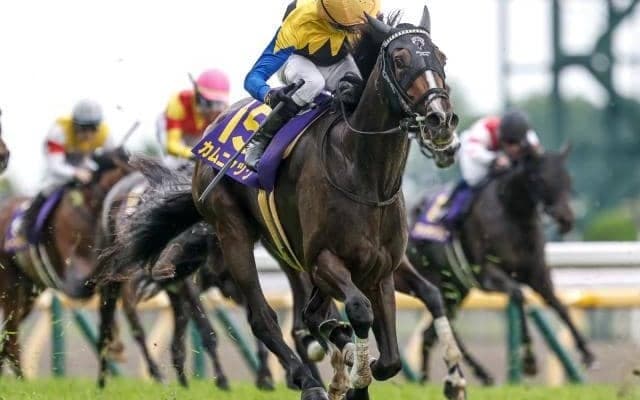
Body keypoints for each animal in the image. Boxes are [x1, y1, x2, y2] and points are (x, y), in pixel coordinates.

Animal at [0, 148, 130, 377]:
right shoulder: (71, 274)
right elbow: (91, 284)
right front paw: (114, 343)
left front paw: (114, 342)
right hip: (10, 286)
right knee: (11, 339)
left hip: (28, 293)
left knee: (7, 336)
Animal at [99, 9, 466, 400]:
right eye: (399, 59)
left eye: (441, 58)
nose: (441, 120)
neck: (364, 174)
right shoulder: (323, 260)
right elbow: (358, 312)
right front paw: (351, 376)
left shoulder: (381, 269)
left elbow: (393, 353)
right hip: (233, 233)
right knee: (262, 318)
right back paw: (309, 381)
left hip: (282, 249)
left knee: (311, 317)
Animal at [409, 146, 595, 384]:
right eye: (539, 178)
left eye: (567, 178)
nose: (566, 219)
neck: (513, 213)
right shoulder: (487, 275)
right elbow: (519, 295)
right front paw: (529, 362)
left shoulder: (538, 273)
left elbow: (558, 304)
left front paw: (586, 352)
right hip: (437, 283)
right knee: (439, 328)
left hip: (458, 289)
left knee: (430, 334)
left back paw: (438, 378)